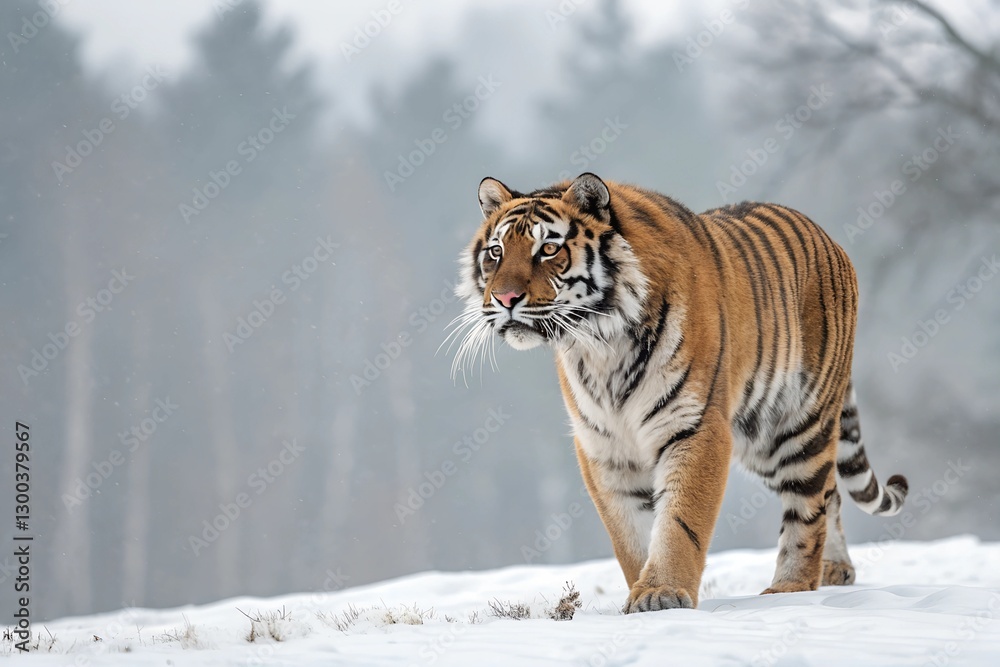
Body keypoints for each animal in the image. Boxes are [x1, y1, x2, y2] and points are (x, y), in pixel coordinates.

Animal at [450, 172, 908, 613]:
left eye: (548, 249)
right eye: (496, 252)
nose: (505, 298)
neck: (600, 345)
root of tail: (829, 238)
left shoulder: (695, 426)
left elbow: (679, 521)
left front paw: (662, 593)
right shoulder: (604, 445)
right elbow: (629, 530)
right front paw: (642, 589)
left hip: (797, 424)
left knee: (808, 507)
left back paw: (791, 588)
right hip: (760, 439)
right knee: (831, 492)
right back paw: (835, 570)